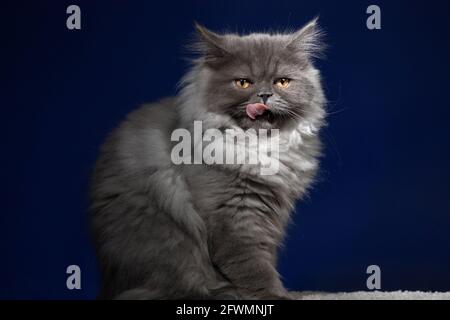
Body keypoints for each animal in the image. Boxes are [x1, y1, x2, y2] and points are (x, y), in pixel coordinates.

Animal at [89, 19, 326, 300]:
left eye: (282, 82)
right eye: (243, 83)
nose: (265, 95)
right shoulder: (234, 217)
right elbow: (253, 266)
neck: (260, 145)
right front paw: (276, 295)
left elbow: (263, 258)